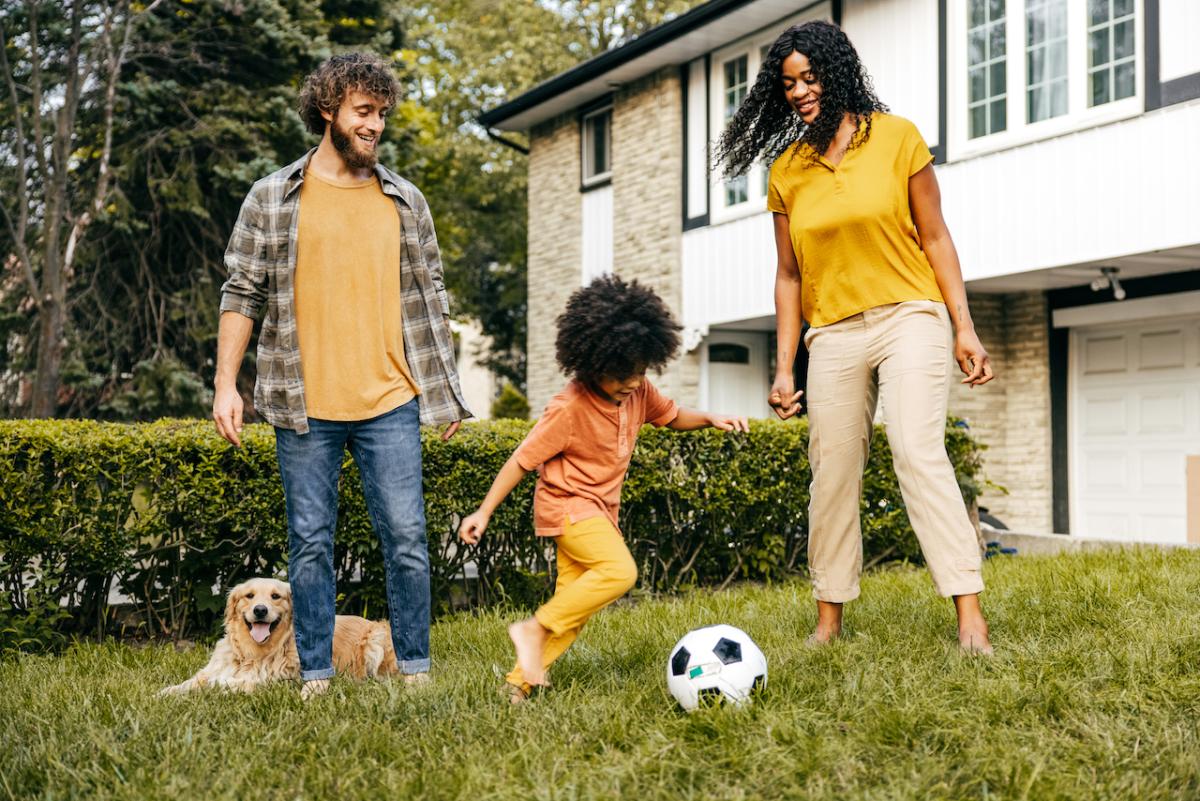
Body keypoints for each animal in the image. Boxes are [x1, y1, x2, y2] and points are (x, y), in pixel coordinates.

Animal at [157, 575, 400, 695]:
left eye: (275, 596)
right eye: (249, 595)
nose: (260, 610)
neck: (251, 654)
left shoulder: (280, 681)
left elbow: (229, 683)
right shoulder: (212, 670)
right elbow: (187, 683)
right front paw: (162, 694)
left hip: (376, 639)